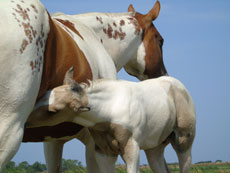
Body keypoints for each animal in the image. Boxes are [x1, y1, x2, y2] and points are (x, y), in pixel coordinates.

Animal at [27, 68, 196, 173]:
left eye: (52, 111)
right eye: (45, 94)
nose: (26, 120)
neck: (110, 109)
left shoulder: (131, 147)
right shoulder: (104, 152)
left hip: (183, 142)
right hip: (154, 147)